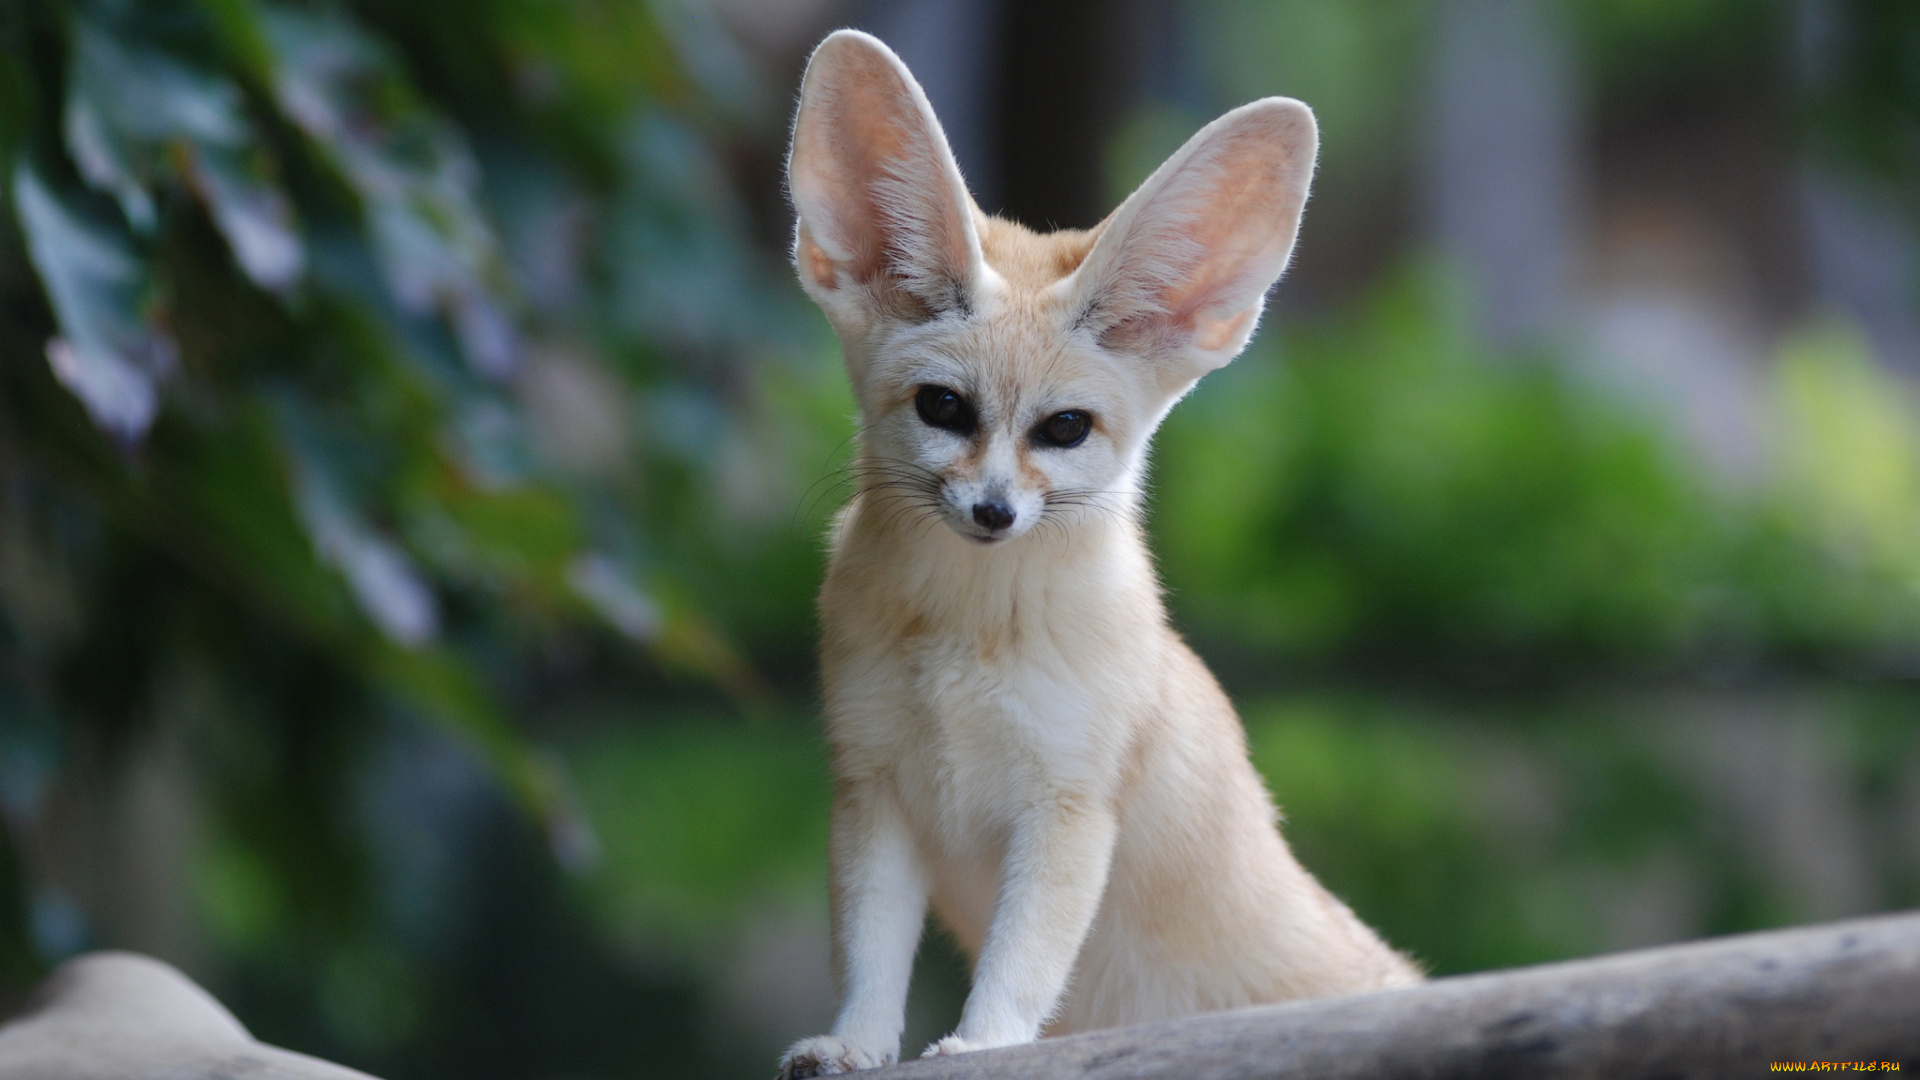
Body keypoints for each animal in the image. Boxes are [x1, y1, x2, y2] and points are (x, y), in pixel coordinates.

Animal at [776, 30, 1422, 1078]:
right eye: (943, 408)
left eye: (1066, 428)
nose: (993, 511)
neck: (966, 641)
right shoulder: (873, 794)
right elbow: (869, 956)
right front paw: (855, 1045)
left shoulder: (1069, 810)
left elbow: (1024, 959)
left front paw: (980, 1046)